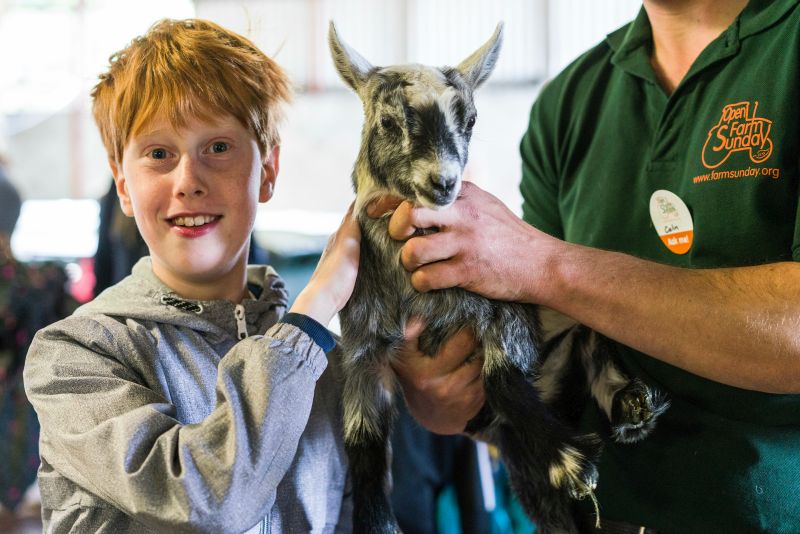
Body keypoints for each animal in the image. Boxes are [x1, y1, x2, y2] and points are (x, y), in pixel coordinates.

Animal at [326, 22, 668, 534]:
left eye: (470, 120)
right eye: (388, 122)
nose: (443, 182)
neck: (411, 290)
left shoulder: (505, 309)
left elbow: (501, 376)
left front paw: (570, 462)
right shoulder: (364, 348)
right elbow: (361, 438)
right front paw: (375, 523)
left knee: (593, 345)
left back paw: (631, 404)